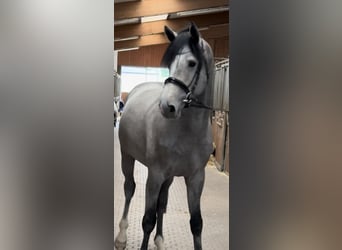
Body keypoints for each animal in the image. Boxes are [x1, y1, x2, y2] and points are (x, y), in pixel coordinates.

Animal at [116, 23, 215, 250]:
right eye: (169, 65)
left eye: (191, 63)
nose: (166, 107)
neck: (187, 133)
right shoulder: (155, 174)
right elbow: (147, 220)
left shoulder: (196, 178)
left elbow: (196, 223)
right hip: (127, 157)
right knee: (129, 189)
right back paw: (122, 236)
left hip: (169, 177)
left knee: (162, 203)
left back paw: (159, 239)